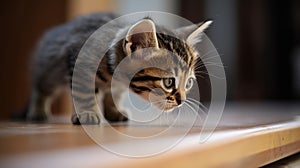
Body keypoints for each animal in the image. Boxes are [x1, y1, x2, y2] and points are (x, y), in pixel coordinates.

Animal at [27, 12, 211, 124]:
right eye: (169, 82)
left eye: (188, 83)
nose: (182, 101)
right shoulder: (79, 62)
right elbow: (84, 93)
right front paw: (87, 113)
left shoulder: (116, 85)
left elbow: (114, 94)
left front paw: (113, 111)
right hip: (49, 69)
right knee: (41, 88)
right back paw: (37, 111)